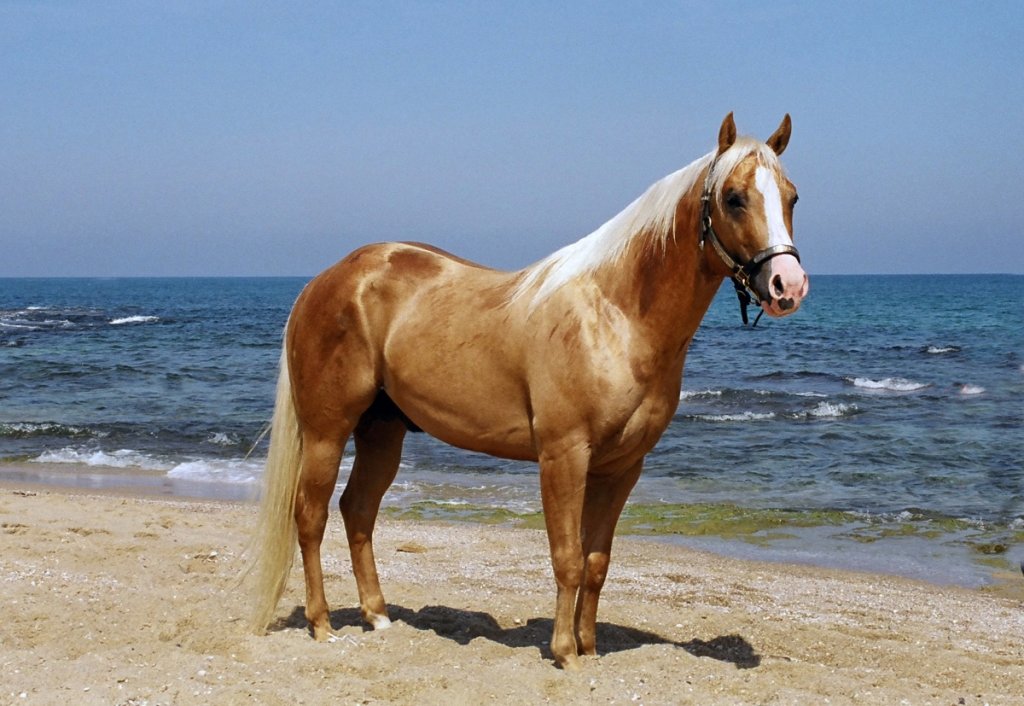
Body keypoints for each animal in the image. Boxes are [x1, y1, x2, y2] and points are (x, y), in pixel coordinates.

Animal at [247, 113, 809, 669]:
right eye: (734, 197)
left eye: (792, 196)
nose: (788, 285)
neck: (615, 316)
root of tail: (325, 280)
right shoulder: (564, 455)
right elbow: (567, 558)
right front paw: (565, 654)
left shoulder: (622, 467)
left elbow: (597, 562)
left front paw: (589, 648)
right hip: (328, 431)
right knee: (311, 516)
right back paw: (322, 624)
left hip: (382, 432)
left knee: (358, 511)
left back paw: (378, 615)